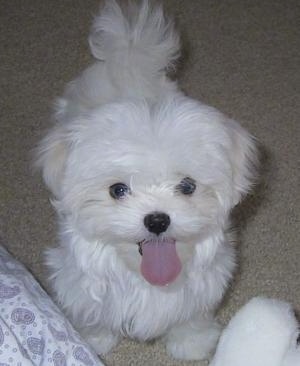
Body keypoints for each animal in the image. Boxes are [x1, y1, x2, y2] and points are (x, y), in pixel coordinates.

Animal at [36, 0, 258, 360]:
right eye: (118, 190)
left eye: (187, 186)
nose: (157, 220)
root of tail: (126, 55)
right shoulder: (79, 281)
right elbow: (92, 311)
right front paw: (92, 340)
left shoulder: (203, 284)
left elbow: (191, 316)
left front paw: (192, 344)